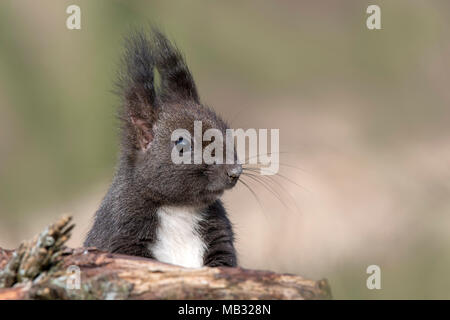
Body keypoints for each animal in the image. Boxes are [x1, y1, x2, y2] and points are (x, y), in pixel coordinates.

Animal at [83, 28, 243, 268]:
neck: (180, 210)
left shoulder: (219, 236)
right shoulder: (120, 233)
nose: (235, 171)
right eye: (182, 143)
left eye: (227, 130)